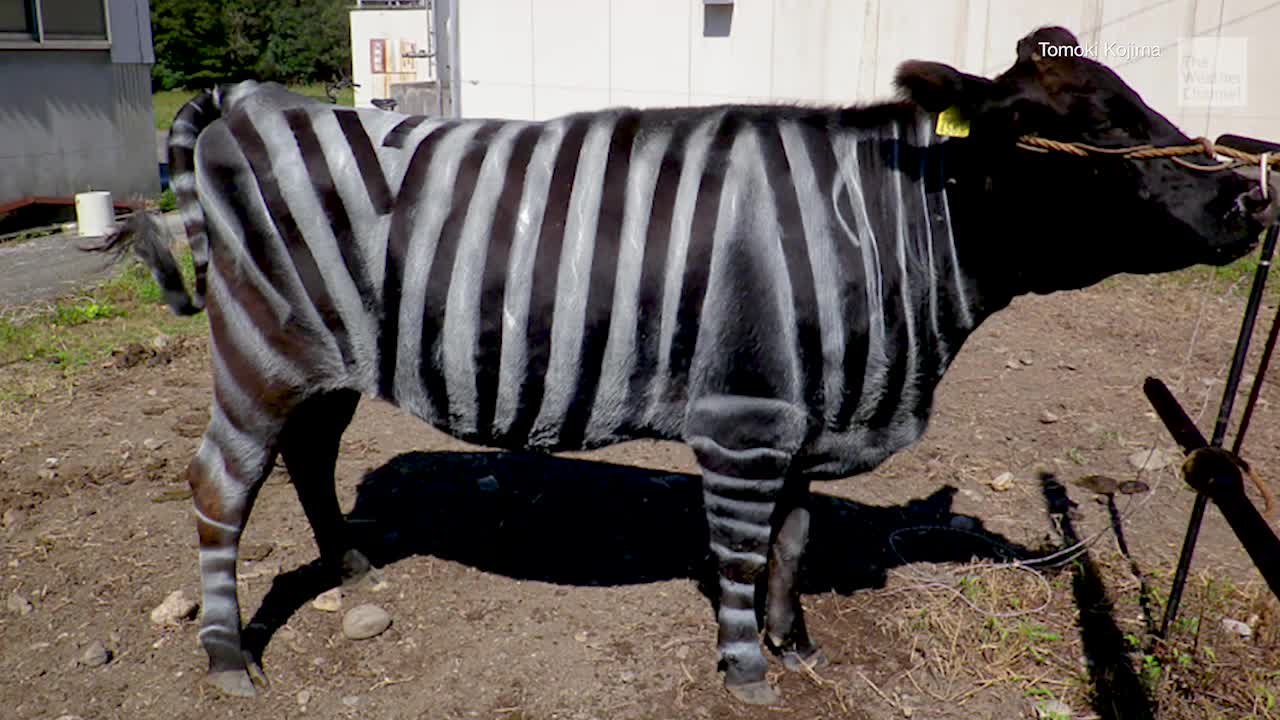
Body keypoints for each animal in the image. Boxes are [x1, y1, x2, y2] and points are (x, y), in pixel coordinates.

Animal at [99, 27, 1270, 705]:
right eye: (1071, 132)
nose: (1244, 197)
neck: (882, 238)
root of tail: (252, 98)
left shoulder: (804, 418)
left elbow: (793, 543)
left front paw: (797, 650)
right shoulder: (746, 421)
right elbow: (746, 554)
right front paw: (747, 669)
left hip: (330, 360)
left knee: (307, 457)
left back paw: (348, 568)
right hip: (259, 350)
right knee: (222, 485)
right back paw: (228, 657)